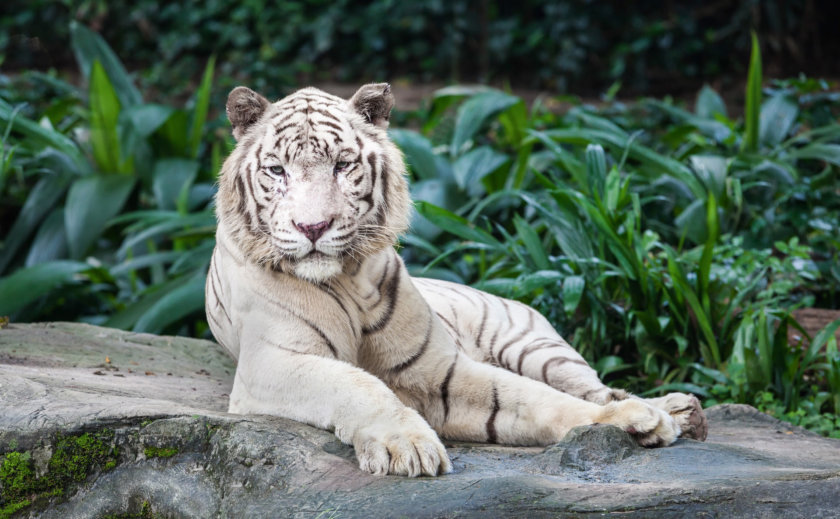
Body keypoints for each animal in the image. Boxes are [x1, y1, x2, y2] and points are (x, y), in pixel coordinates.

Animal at [205, 83, 708, 478]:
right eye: (277, 170)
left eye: (343, 166)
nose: (313, 227)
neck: (347, 279)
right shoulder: (273, 363)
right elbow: (357, 385)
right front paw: (407, 445)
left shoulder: (436, 368)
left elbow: (532, 398)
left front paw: (634, 420)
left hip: (539, 349)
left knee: (593, 384)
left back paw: (679, 409)